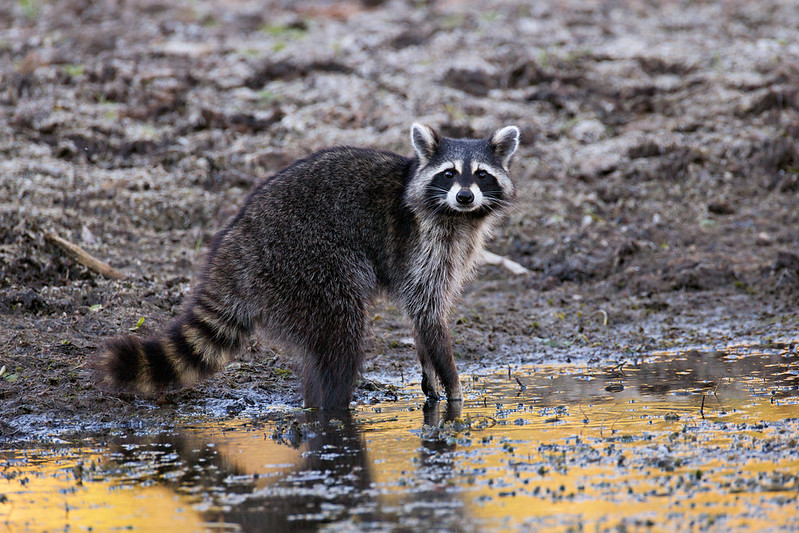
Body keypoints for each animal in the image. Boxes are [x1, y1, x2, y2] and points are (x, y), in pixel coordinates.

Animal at [96, 123, 520, 409]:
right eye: (449, 173)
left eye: (481, 174)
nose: (464, 196)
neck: (457, 216)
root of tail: (236, 242)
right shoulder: (422, 241)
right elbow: (427, 309)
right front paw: (453, 384)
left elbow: (421, 314)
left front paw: (431, 374)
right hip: (307, 264)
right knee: (341, 335)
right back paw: (332, 406)